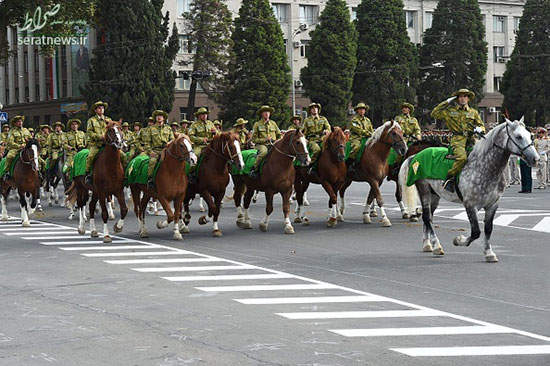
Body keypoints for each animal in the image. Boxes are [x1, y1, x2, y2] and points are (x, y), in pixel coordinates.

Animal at [398, 118, 540, 262]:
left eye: (531, 136)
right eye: (518, 136)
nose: (535, 159)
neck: (485, 168)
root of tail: (415, 156)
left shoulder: (493, 204)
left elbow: (488, 228)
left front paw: (489, 253)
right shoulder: (470, 204)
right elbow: (476, 232)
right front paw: (459, 240)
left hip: (435, 195)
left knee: (429, 218)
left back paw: (427, 244)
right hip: (424, 191)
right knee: (427, 217)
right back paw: (436, 245)